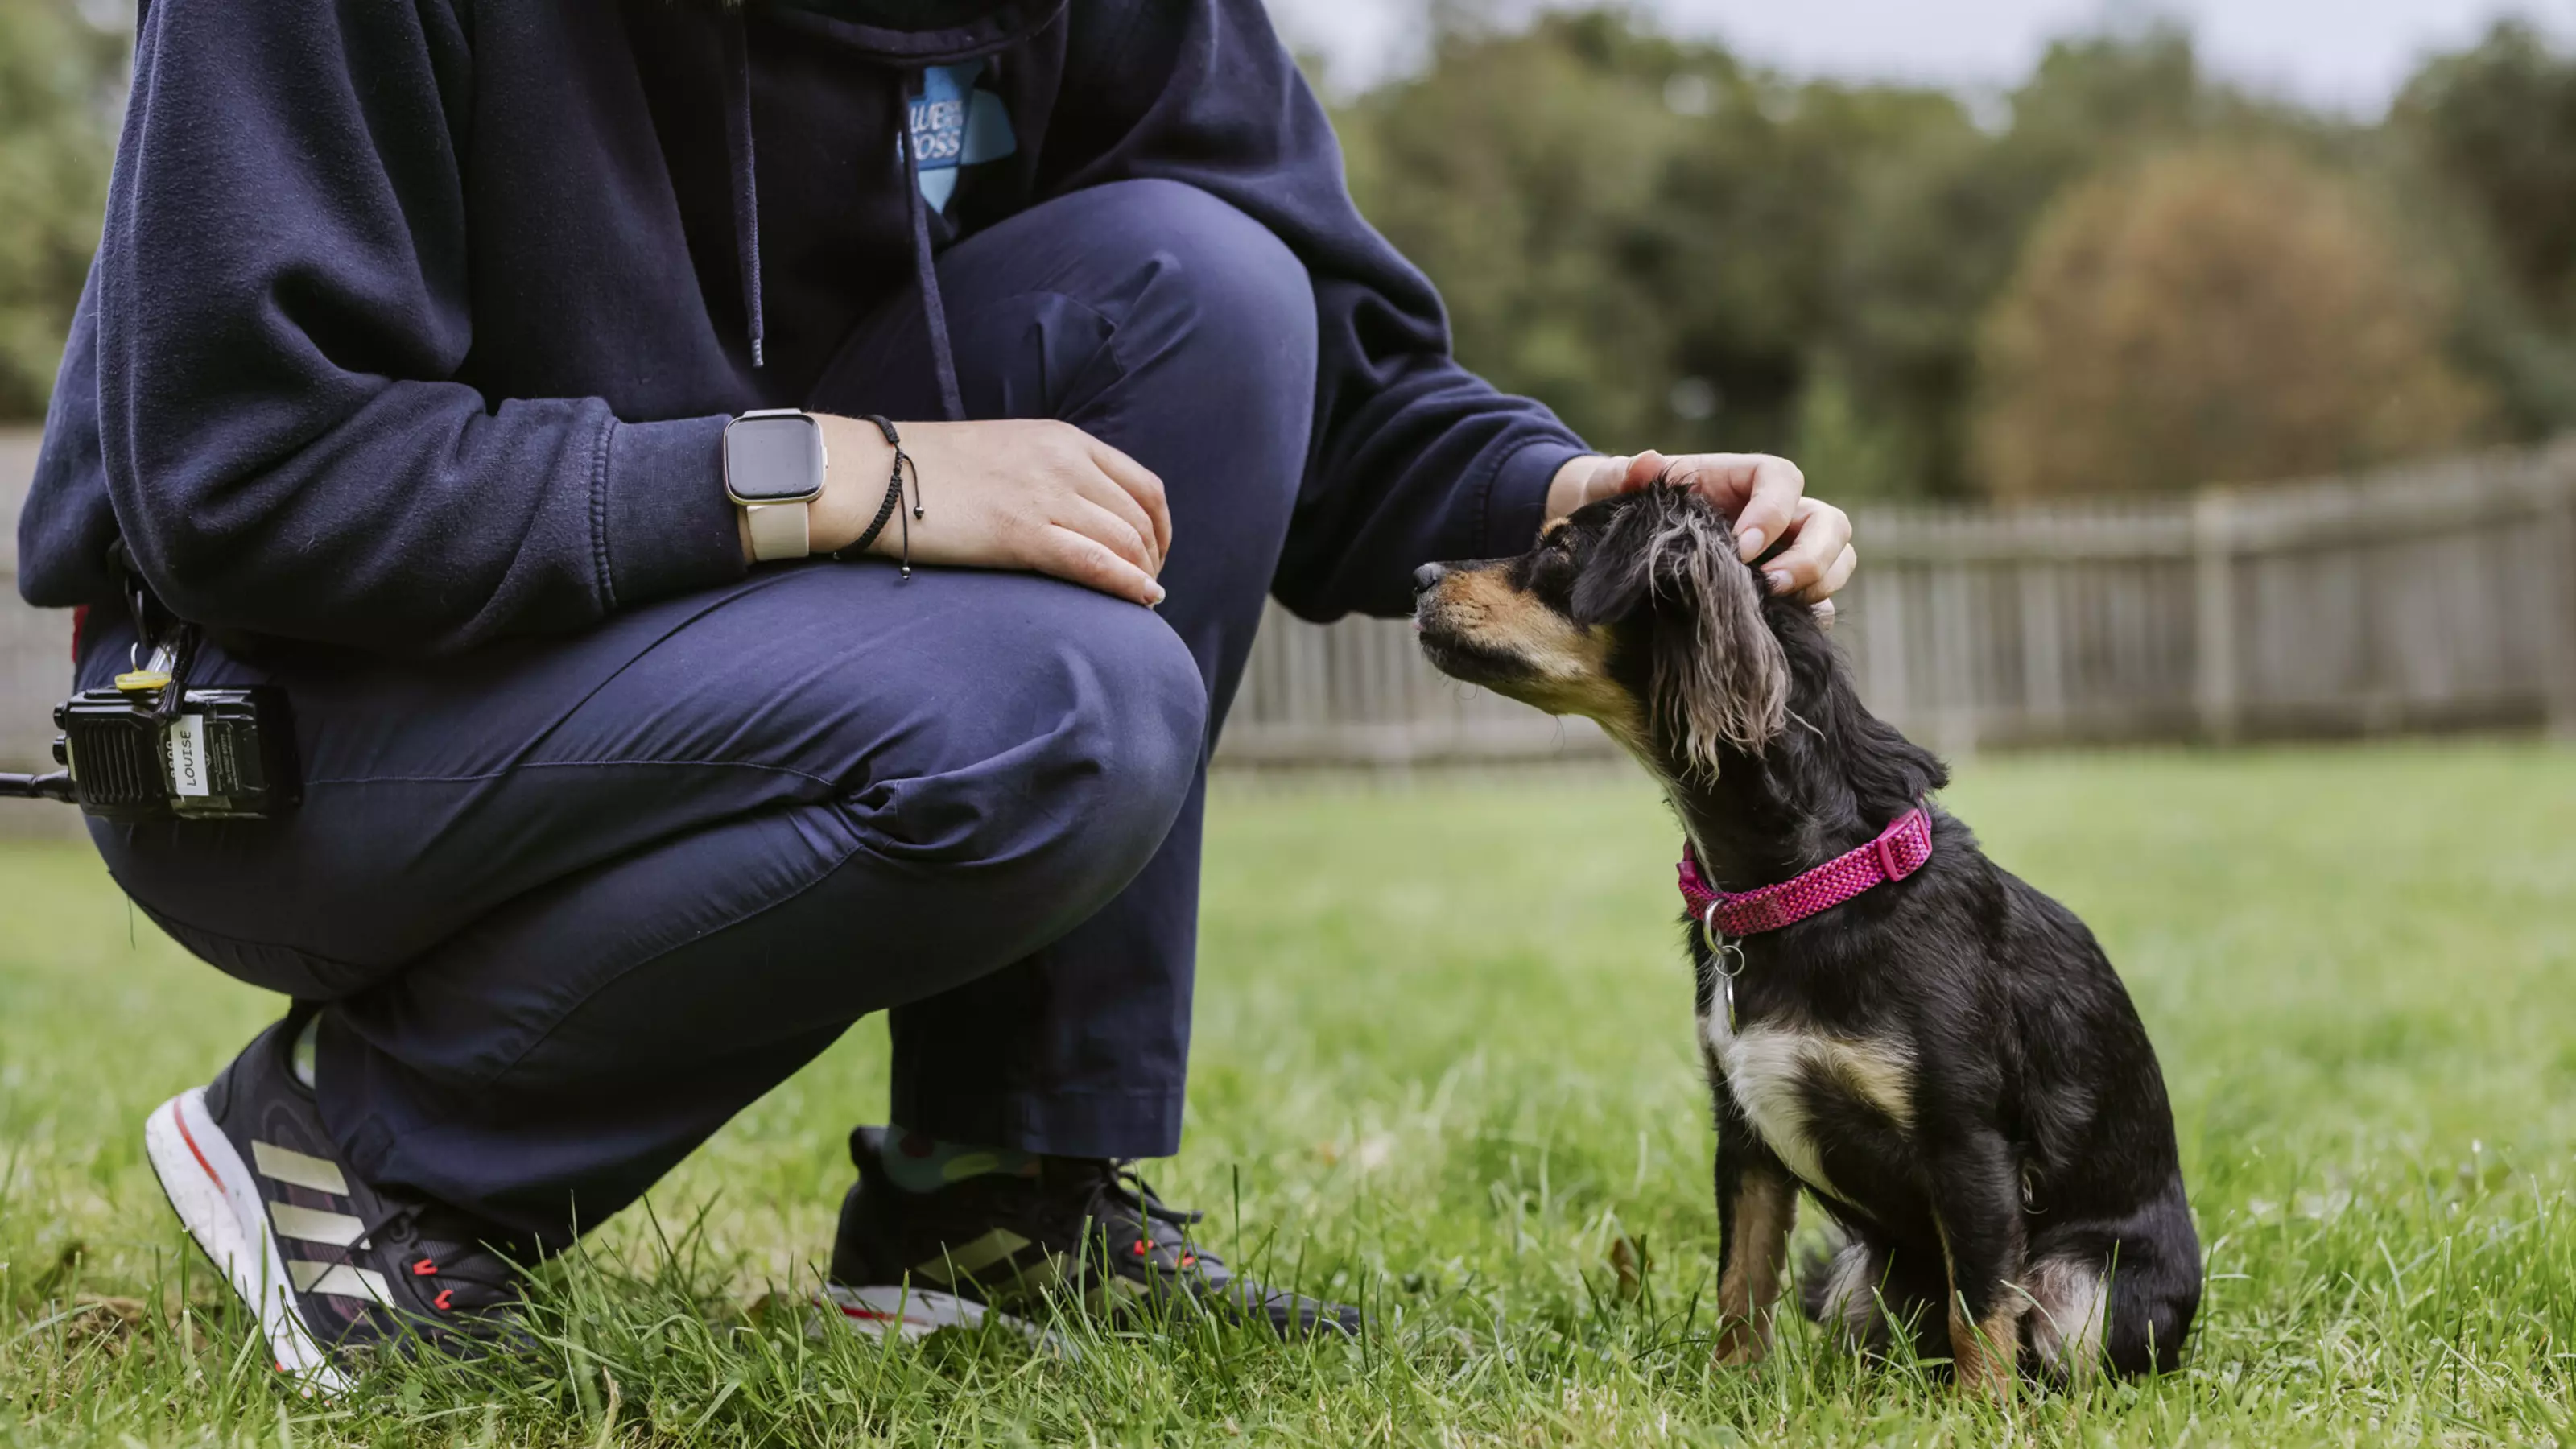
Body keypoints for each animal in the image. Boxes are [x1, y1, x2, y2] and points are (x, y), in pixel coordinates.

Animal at [1411, 485, 2194, 1392]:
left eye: (1561, 548)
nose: (1419, 575)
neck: (1805, 882)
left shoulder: (1970, 1149)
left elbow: (1981, 1311)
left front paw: (1981, 1411)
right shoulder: (1743, 1136)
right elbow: (1741, 1281)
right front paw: (1730, 1393)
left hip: (2081, 1296)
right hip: (1857, 1278)